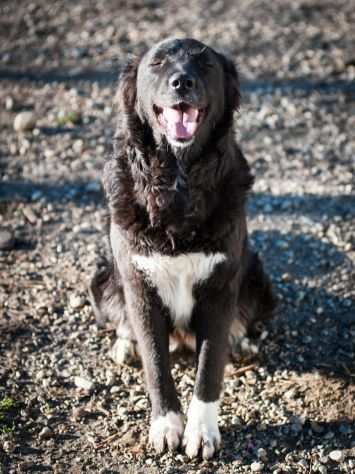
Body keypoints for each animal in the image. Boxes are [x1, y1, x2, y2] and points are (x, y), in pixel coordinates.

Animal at [89, 37, 276, 460]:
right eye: (157, 63)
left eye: (205, 64)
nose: (181, 82)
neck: (178, 175)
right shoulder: (139, 285)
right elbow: (157, 364)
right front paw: (166, 426)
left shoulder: (220, 288)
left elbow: (209, 368)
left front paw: (202, 431)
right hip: (102, 278)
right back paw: (125, 344)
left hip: (259, 277)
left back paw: (241, 342)